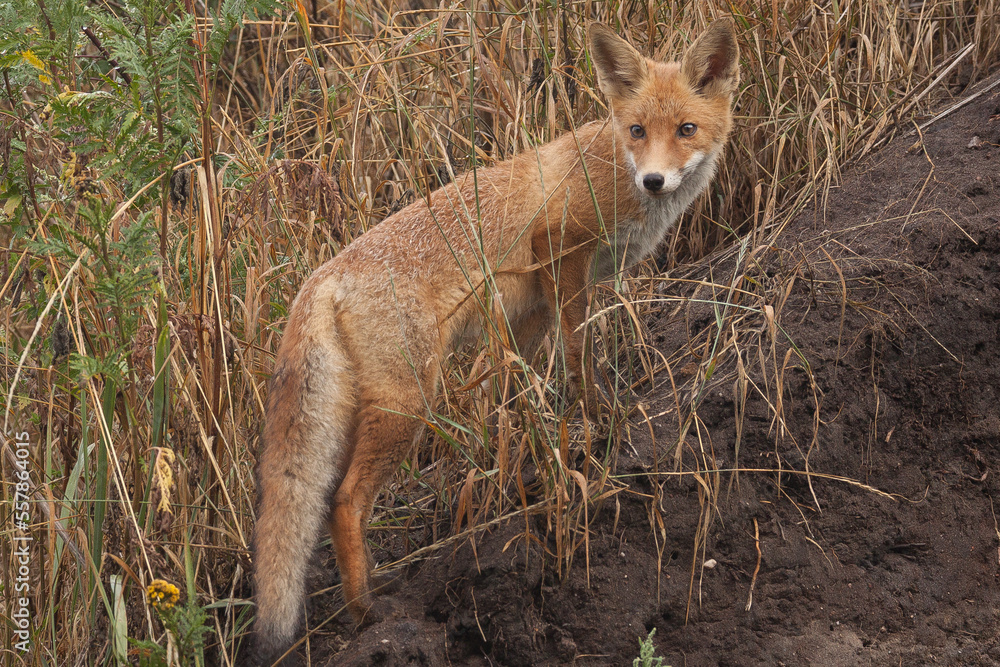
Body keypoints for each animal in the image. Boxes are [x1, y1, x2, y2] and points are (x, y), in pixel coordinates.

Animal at [250, 19, 740, 664]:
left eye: (686, 130)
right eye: (637, 131)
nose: (654, 179)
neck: (612, 170)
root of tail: (322, 275)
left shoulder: (531, 310)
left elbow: (515, 389)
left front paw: (518, 462)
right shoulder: (561, 252)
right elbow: (579, 357)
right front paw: (598, 419)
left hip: (368, 406)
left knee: (330, 501)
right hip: (409, 403)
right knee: (346, 500)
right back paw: (367, 614)